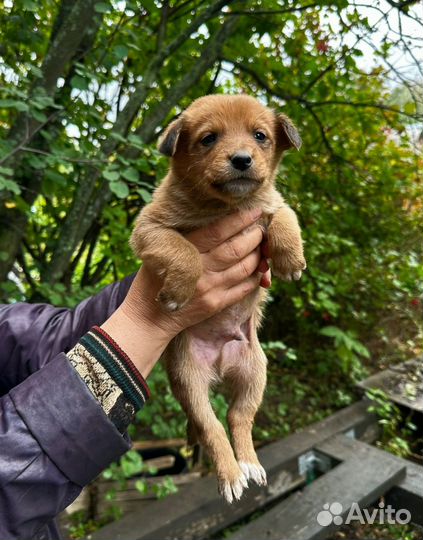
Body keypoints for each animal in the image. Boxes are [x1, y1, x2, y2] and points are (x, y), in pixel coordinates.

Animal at [131, 95, 306, 504]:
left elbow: (286, 217)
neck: (225, 205)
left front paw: (290, 258)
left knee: (237, 418)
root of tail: (220, 366)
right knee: (210, 427)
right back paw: (230, 475)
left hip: (255, 374)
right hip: (189, 380)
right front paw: (178, 291)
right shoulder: (150, 228)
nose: (241, 159)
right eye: (208, 138)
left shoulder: (271, 206)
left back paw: (250, 465)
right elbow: (184, 252)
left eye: (260, 136)